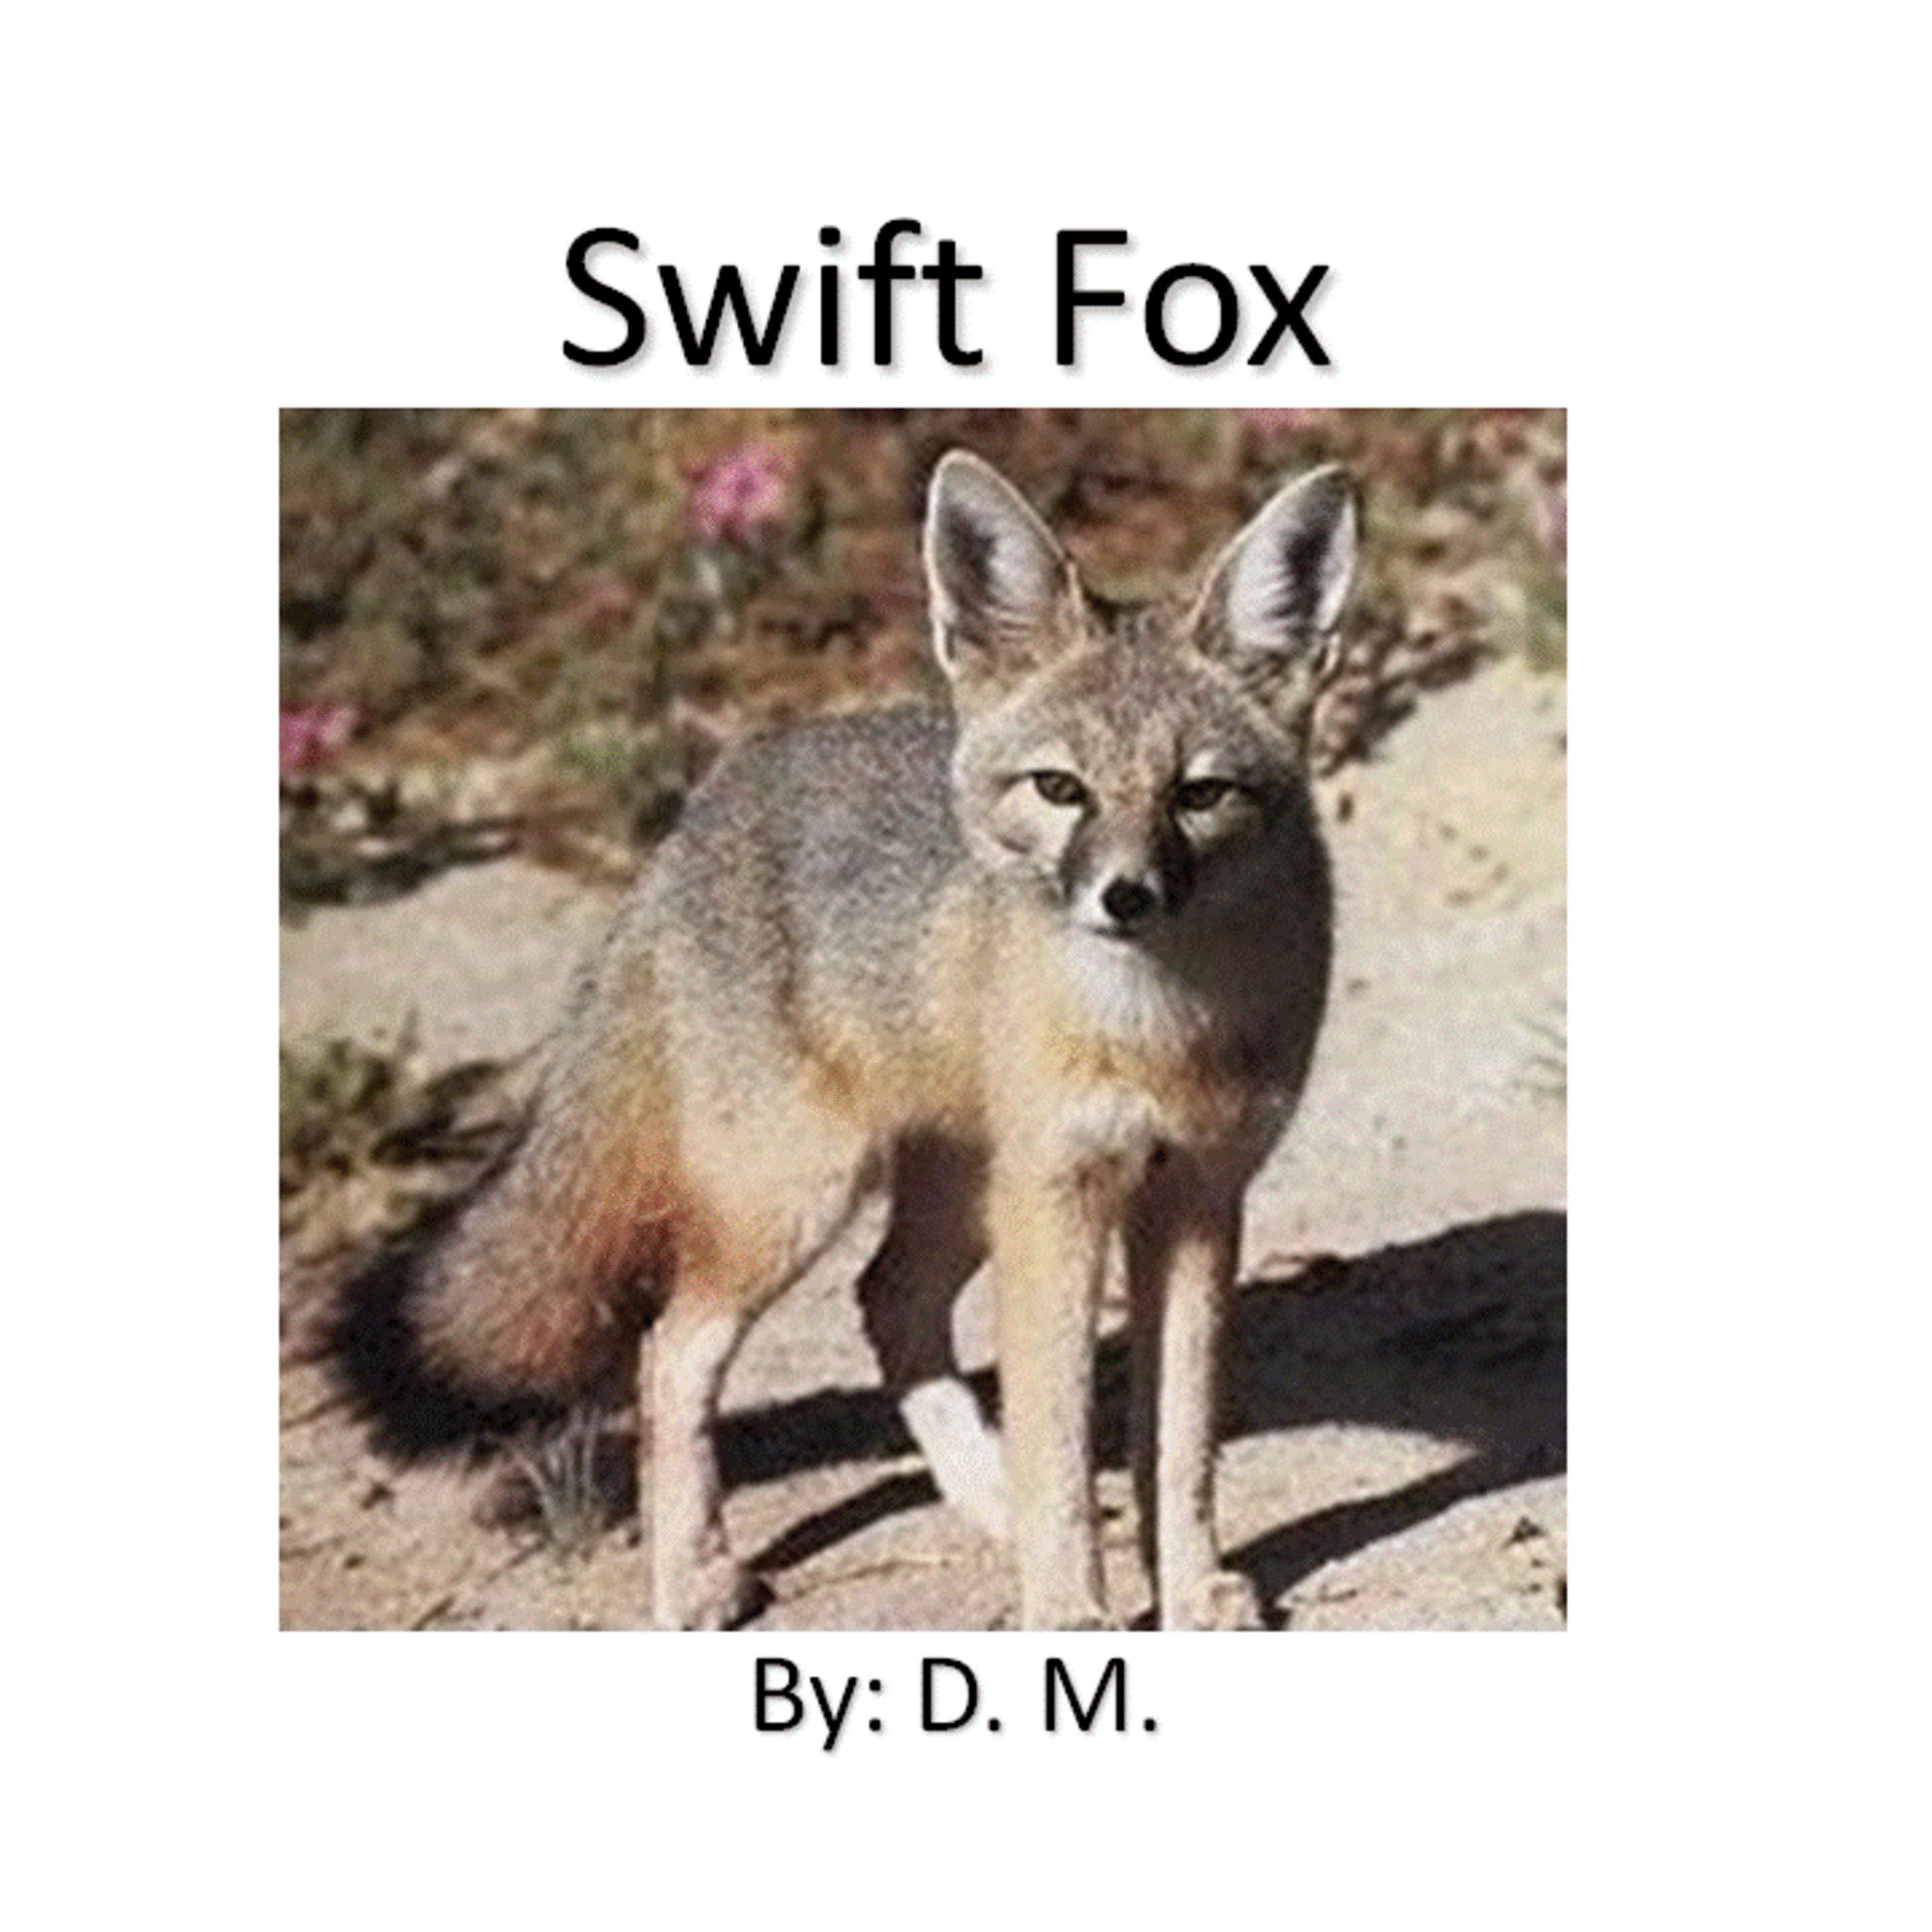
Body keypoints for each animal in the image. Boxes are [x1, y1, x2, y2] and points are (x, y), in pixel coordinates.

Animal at [337, 449, 1357, 1630]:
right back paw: (696, 1579)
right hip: (802, 1198)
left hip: (957, 1191)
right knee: (671, 1352)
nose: (1126, 896)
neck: (1157, 1026)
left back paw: (982, 1499)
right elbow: (1061, 1447)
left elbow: (1180, 1445)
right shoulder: (1060, 1203)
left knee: (890, 1301)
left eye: (1200, 795)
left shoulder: (1196, 1200)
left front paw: (1189, 1593)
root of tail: (694, 816)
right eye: (1061, 790)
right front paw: (1071, 1612)